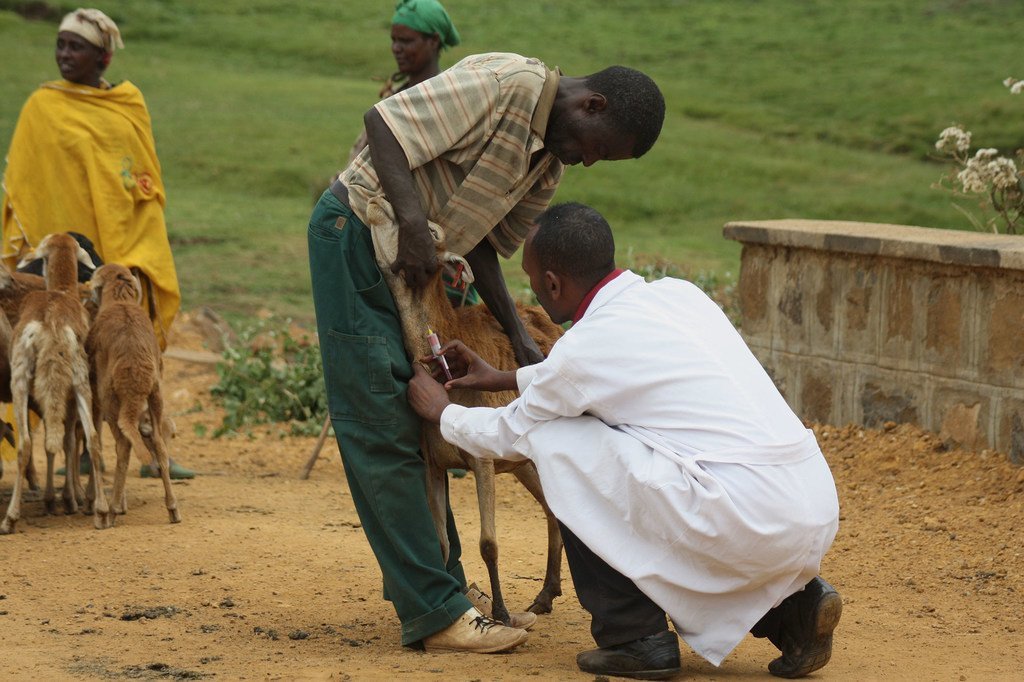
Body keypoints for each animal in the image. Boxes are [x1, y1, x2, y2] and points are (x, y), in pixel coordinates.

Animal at [1, 232, 108, 532]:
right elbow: (67, 442)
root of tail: (51, 326)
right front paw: (67, 498)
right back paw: (100, 511)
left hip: (27, 381)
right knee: (90, 439)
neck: (61, 290)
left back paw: (12, 517)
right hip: (74, 382)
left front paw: (64, 499)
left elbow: (63, 442)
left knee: (28, 444)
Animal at [87, 262, 181, 522]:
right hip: (156, 394)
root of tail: (135, 372)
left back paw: (111, 511)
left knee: (123, 444)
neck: (121, 302)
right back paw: (173, 508)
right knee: (159, 445)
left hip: (110, 398)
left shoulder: (96, 389)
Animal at [364, 200, 565, 622]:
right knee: (552, 509)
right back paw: (545, 595)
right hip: (521, 461)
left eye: (431, 231)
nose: (377, 201)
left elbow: (489, 542)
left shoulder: (482, 457)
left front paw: (501, 612)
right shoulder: (432, 461)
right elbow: (439, 542)